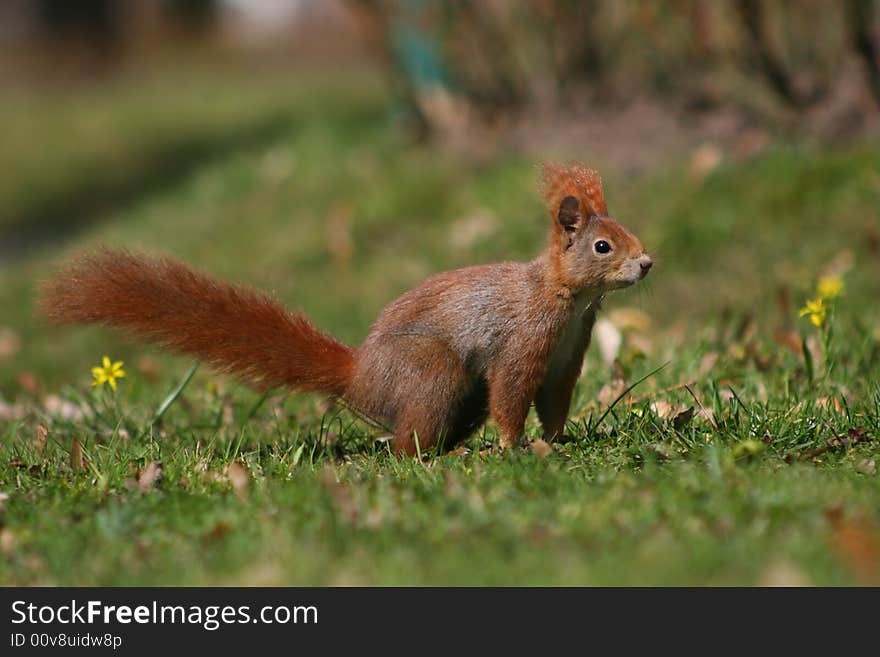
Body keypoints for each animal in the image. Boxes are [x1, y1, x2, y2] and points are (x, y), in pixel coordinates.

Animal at [41, 161, 652, 454]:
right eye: (603, 246)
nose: (646, 263)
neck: (566, 299)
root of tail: (360, 377)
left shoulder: (567, 354)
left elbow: (554, 399)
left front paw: (555, 440)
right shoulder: (523, 341)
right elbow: (511, 393)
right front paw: (512, 445)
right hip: (431, 371)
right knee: (406, 446)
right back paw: (441, 457)